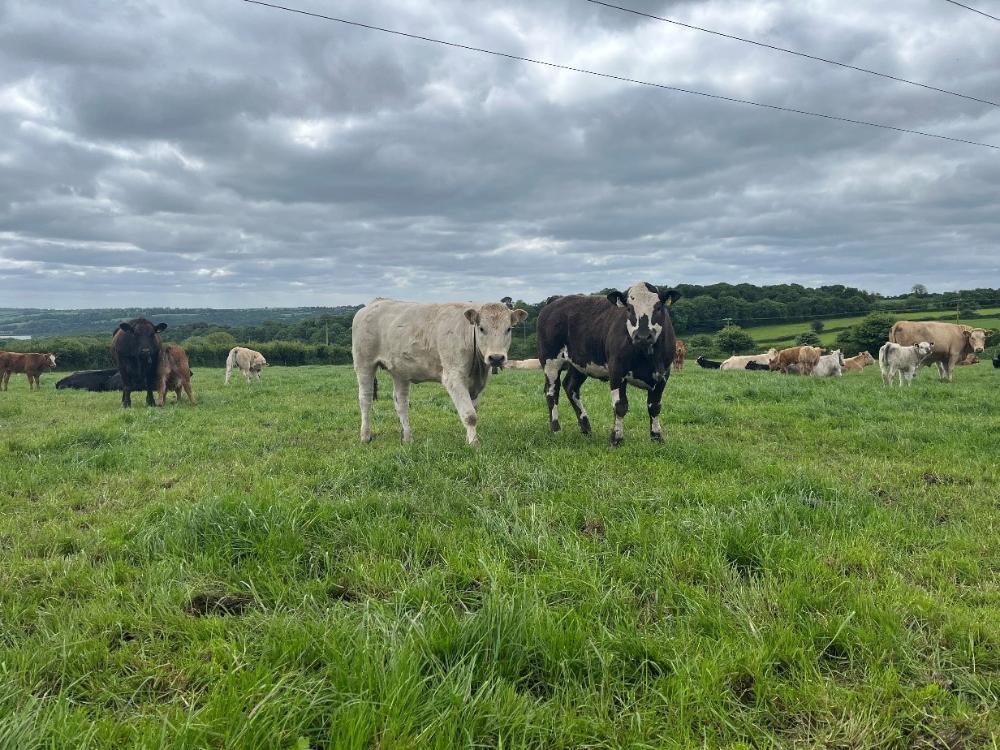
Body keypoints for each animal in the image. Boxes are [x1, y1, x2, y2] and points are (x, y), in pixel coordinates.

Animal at [352, 298, 527, 446]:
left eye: (508, 329)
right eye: (482, 328)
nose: (496, 358)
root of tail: (375, 303)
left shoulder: (478, 382)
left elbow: (473, 409)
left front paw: (468, 439)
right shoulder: (453, 377)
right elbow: (470, 415)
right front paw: (474, 444)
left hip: (400, 371)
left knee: (401, 403)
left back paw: (407, 438)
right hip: (364, 363)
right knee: (365, 399)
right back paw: (365, 436)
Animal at [536, 282, 680, 446]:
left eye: (658, 307)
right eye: (629, 308)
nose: (643, 336)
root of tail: (556, 300)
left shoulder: (663, 374)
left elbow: (654, 406)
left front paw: (657, 437)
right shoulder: (617, 371)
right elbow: (620, 406)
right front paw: (616, 438)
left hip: (580, 363)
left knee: (571, 387)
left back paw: (586, 427)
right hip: (550, 361)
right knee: (552, 392)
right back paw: (556, 429)